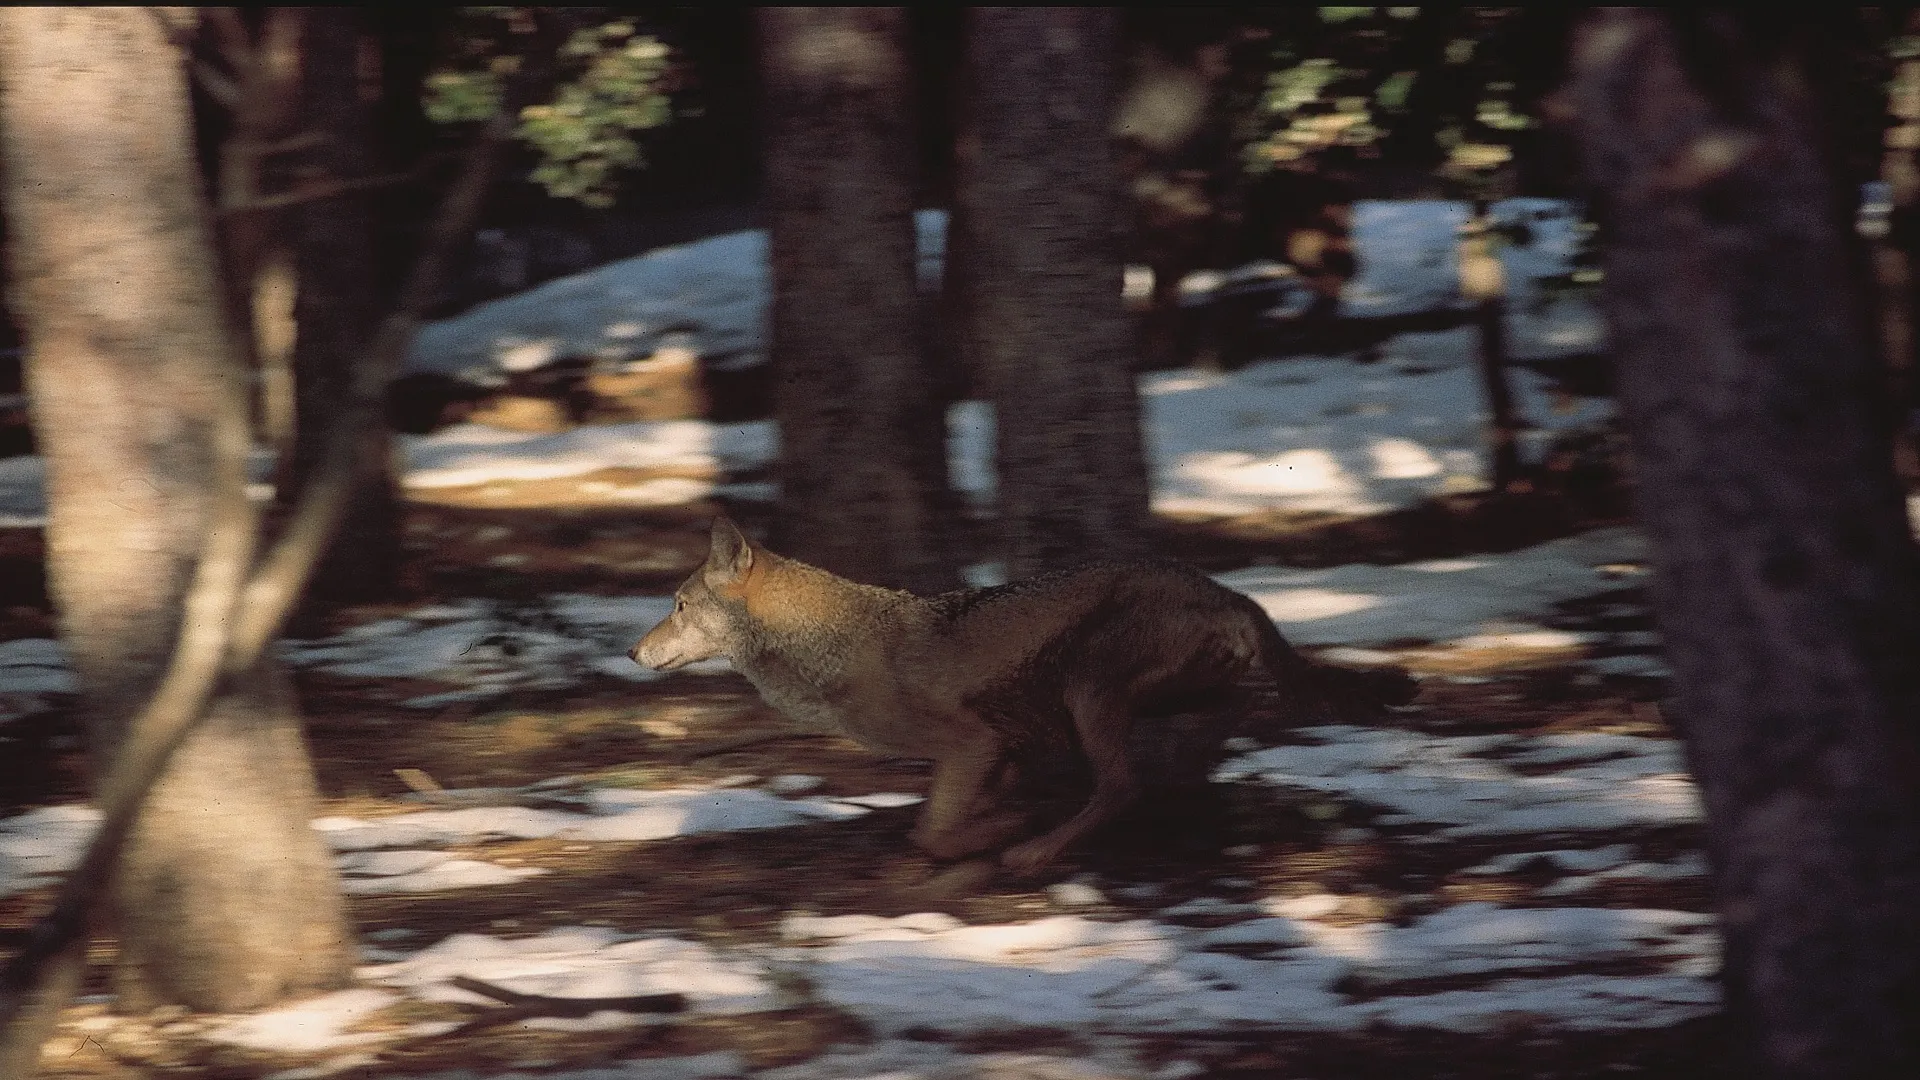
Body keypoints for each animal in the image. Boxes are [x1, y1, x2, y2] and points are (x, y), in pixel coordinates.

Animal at [631, 517, 1415, 876]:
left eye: (677, 606)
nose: (632, 652)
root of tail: (1230, 592)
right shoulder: (1001, 748)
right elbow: (951, 818)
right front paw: (1005, 816)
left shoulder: (974, 743)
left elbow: (934, 833)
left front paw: (1006, 832)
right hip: (1142, 699)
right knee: (1216, 729)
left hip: (1087, 688)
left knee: (1123, 786)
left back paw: (1037, 851)